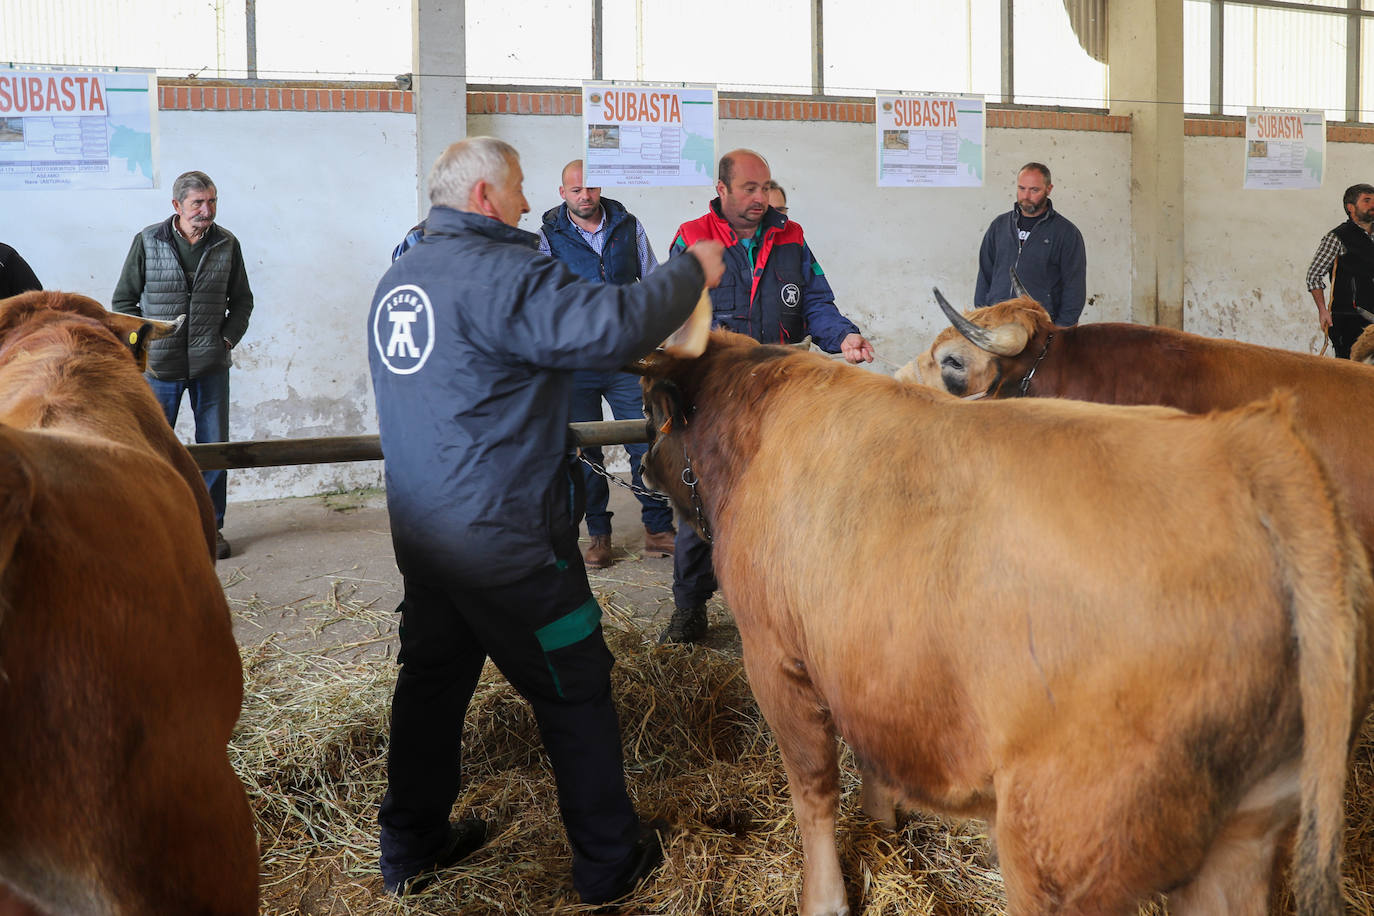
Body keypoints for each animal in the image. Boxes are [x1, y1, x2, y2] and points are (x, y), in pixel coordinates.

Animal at [637, 329, 1368, 916]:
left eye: (650, 415)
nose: (642, 468)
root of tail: (1249, 447)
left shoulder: (774, 655)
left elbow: (811, 786)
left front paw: (824, 899)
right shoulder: (870, 667)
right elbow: (875, 756)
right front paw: (883, 828)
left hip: (1060, 842)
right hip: (1247, 830)